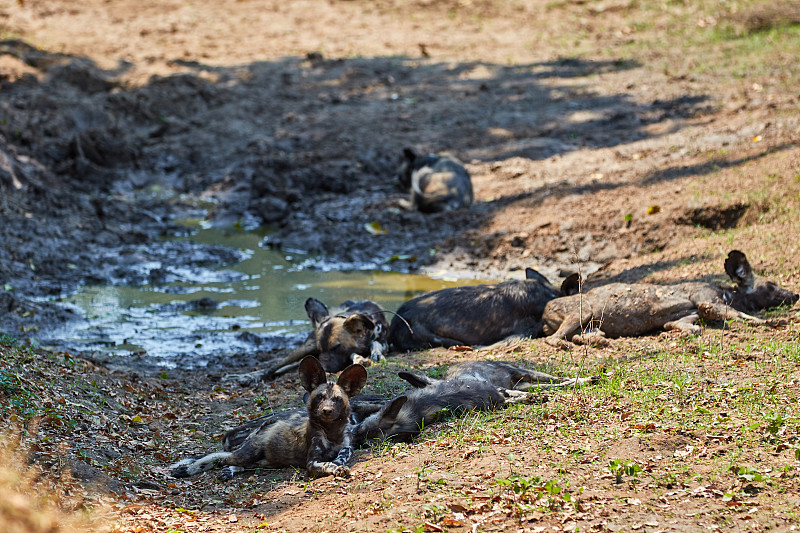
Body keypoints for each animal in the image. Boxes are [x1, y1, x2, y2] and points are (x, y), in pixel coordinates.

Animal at [172, 356, 368, 480]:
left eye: (337, 399)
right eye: (320, 397)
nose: (327, 410)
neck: (331, 432)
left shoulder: (347, 446)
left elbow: (343, 453)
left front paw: (339, 461)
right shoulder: (312, 462)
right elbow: (327, 464)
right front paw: (336, 467)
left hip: (264, 462)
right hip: (246, 454)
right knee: (223, 458)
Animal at [223, 298, 390, 384]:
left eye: (337, 347)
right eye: (322, 349)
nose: (323, 367)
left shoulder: (384, 341)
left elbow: (375, 344)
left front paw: (373, 354)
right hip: (306, 348)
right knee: (274, 367)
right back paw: (247, 377)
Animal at [540, 249, 796, 344]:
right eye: (772, 285)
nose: (795, 294)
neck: (729, 293)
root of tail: (544, 312)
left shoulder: (688, 315)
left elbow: (689, 328)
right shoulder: (708, 301)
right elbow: (747, 317)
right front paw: (776, 321)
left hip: (590, 324)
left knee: (579, 335)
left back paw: (597, 341)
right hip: (582, 312)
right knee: (553, 339)